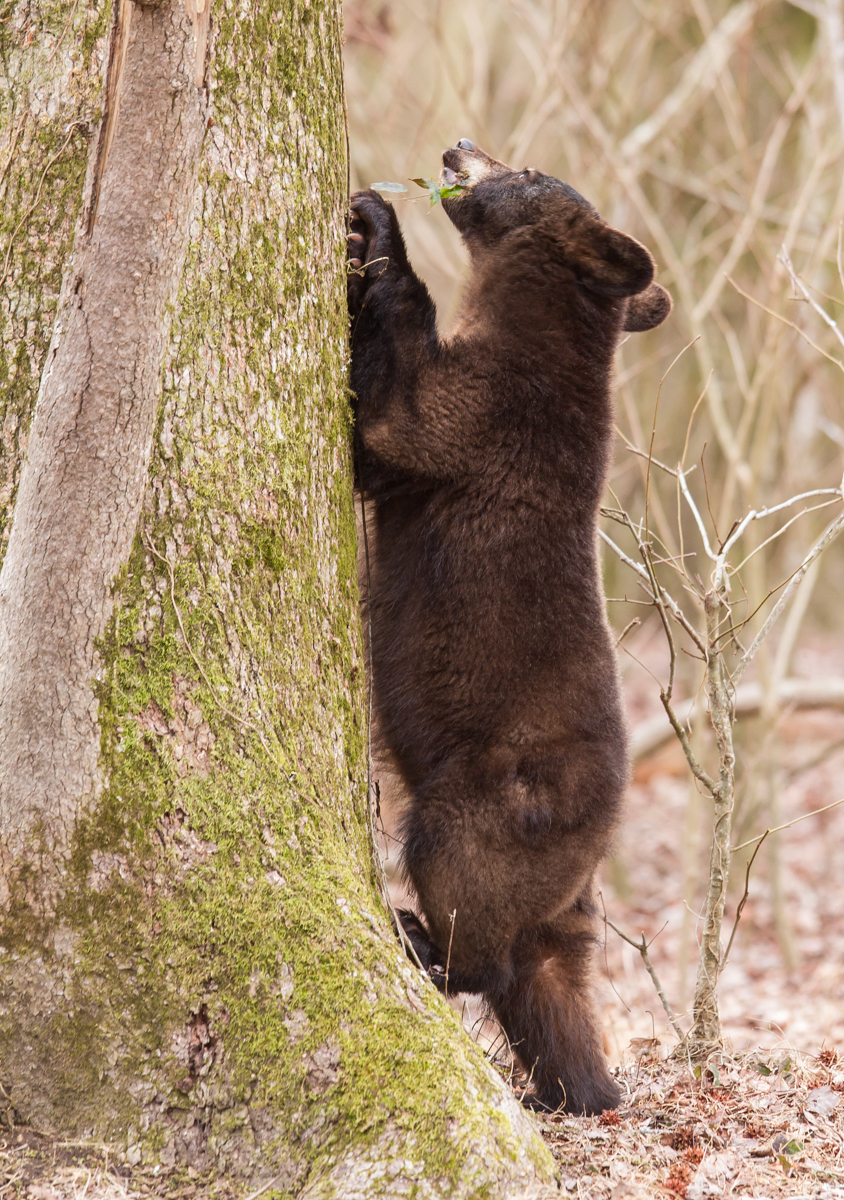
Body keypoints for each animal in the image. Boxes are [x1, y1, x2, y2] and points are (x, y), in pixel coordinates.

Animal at [347, 139, 671, 1115]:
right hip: (556, 895)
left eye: (524, 172)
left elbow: (403, 420)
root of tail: (592, 852)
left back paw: (419, 937)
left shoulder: (493, 410)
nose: (460, 149)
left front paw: (374, 226)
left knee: (470, 911)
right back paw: (585, 1084)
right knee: (545, 984)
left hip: (491, 801)